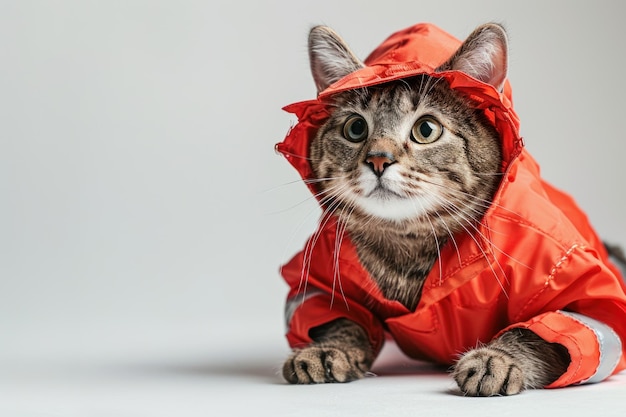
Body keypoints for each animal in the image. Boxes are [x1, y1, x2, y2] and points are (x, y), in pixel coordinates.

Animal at [278, 23, 624, 396]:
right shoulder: (319, 282)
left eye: (426, 129)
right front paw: (325, 350)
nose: (378, 159)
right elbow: (338, 321)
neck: (409, 246)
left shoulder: (585, 295)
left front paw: (496, 359)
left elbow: (538, 332)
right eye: (355, 128)